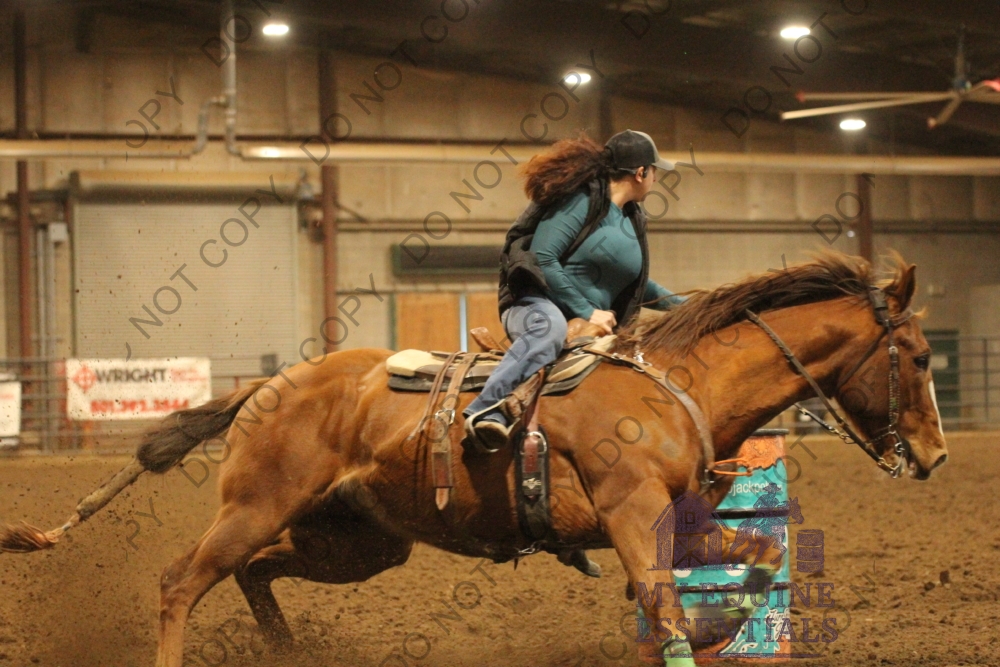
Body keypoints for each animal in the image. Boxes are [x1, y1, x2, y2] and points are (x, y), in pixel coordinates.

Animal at [0, 252, 948, 666]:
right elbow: (665, 599)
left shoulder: (686, 520)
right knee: (180, 581)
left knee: (253, 571)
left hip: (357, 542)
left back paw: (287, 648)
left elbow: (751, 557)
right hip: (256, 505)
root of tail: (270, 384)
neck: (674, 385)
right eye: (920, 356)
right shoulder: (633, 516)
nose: (936, 455)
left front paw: (721, 630)